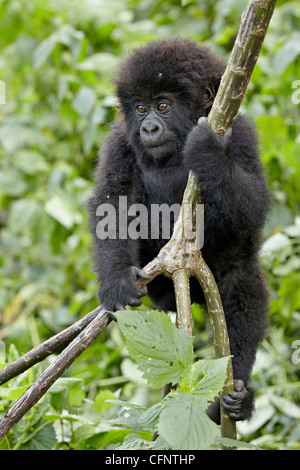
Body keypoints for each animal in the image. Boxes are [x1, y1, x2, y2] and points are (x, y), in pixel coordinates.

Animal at [88, 39, 270, 422]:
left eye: (163, 106)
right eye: (140, 108)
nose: (149, 129)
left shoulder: (241, 134)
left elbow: (253, 206)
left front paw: (208, 152)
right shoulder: (119, 143)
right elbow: (113, 203)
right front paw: (116, 280)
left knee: (242, 285)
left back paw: (235, 397)